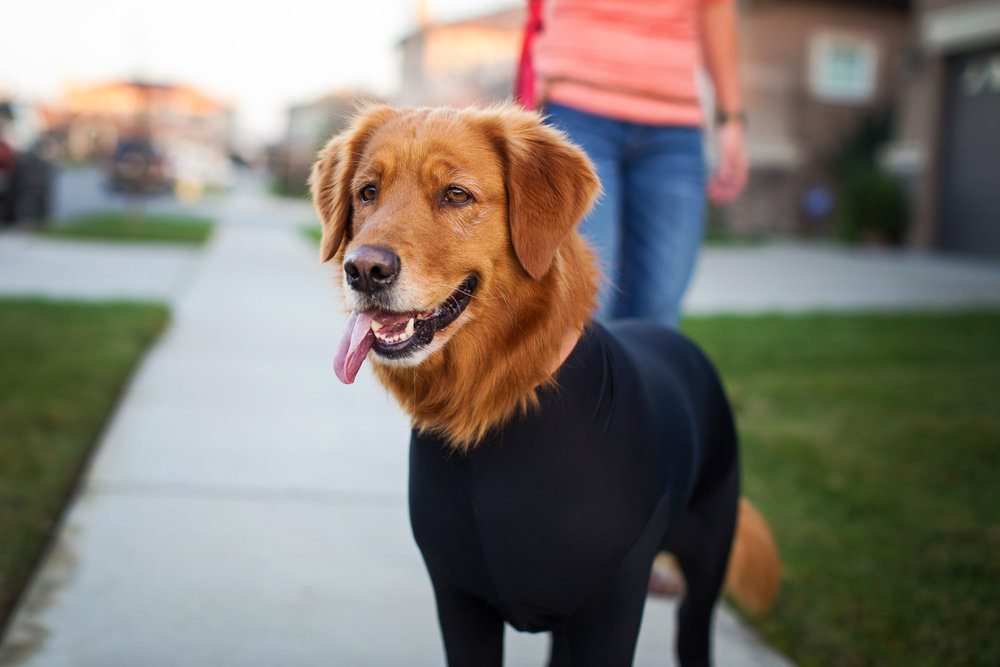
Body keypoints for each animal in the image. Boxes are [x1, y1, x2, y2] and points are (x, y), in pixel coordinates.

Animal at [312, 105, 780, 667]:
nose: (362, 269)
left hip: (702, 578)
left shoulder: (611, 607)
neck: (493, 399)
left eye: (456, 194)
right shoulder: (459, 600)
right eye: (367, 192)